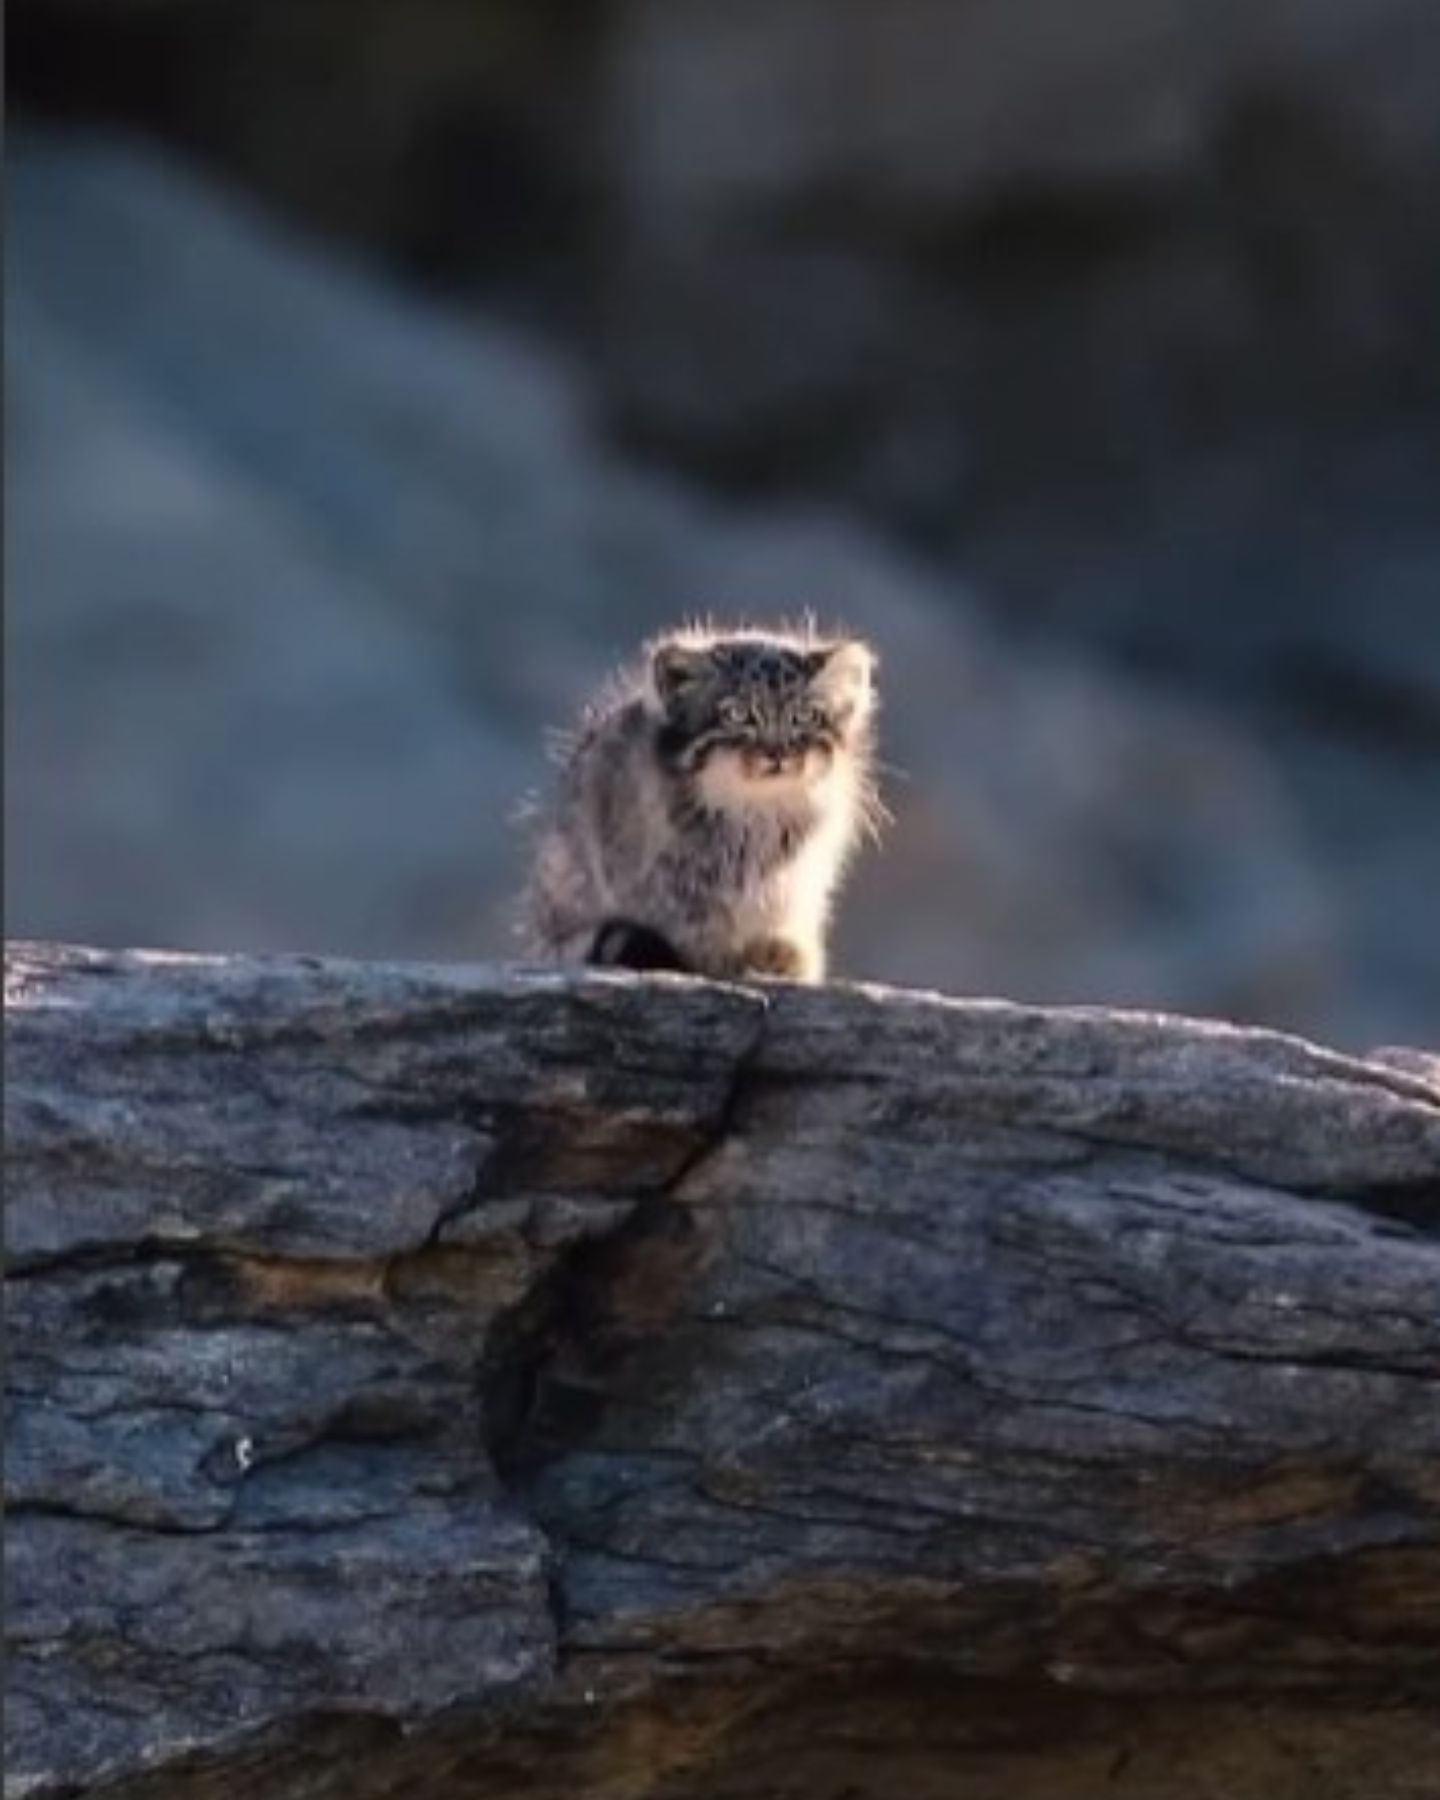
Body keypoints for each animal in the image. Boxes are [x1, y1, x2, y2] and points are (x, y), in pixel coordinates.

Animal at [518, 626, 878, 979]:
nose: (777, 753)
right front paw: (714, 958)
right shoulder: (665, 877)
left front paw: (779, 951)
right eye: (737, 714)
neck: (755, 815)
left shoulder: (797, 877)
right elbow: (690, 921)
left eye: (803, 716)